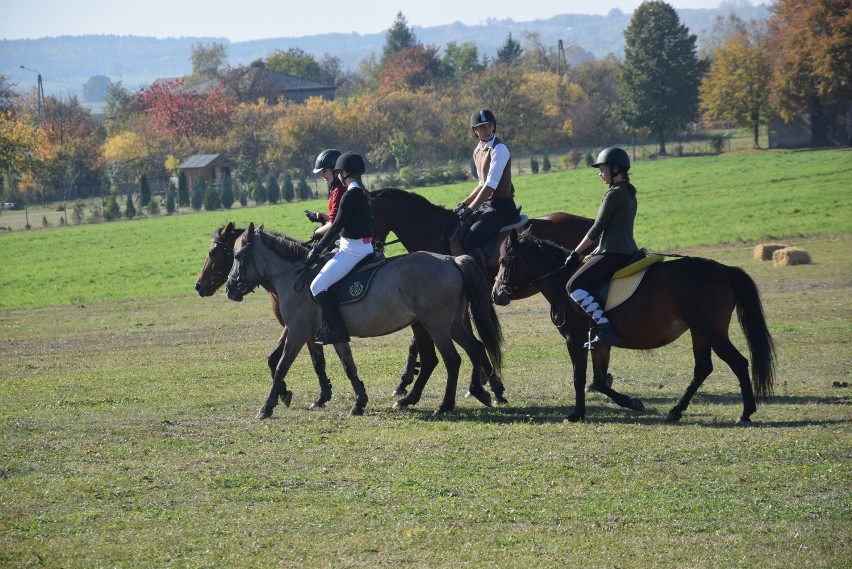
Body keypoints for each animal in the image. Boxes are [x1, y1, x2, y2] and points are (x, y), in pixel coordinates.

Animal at [226, 222, 506, 418]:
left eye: (238, 257)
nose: (229, 289)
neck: (296, 276)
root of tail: (450, 259)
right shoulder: (334, 335)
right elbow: (349, 366)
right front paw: (359, 403)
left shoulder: (297, 333)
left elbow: (281, 367)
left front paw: (266, 407)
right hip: (453, 324)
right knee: (475, 348)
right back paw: (478, 391)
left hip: (436, 326)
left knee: (452, 360)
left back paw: (445, 405)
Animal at [492, 229, 780, 424]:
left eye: (504, 261)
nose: (496, 294)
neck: (562, 280)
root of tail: (722, 269)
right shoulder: (599, 342)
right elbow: (599, 381)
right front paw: (632, 402)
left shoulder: (575, 340)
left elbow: (579, 378)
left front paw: (576, 414)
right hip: (700, 332)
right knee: (702, 369)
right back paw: (676, 410)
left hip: (711, 331)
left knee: (738, 363)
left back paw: (745, 413)